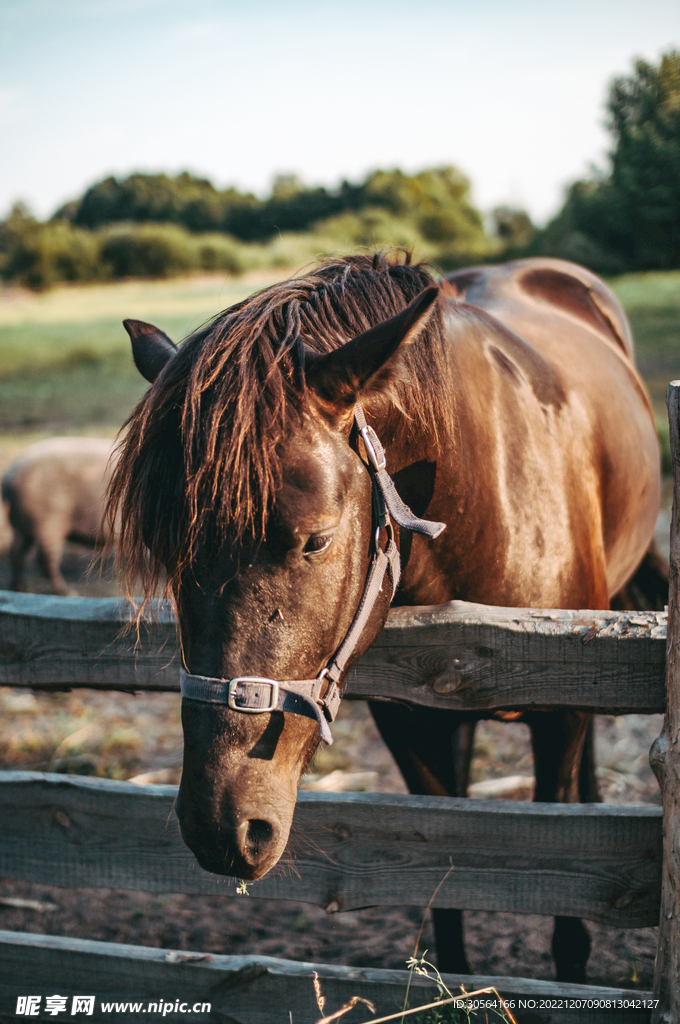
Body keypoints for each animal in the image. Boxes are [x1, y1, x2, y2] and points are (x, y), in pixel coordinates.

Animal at [2, 437, 116, 595]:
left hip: (21, 525)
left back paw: (22, 588)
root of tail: (8, 476)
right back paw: (69, 592)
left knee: (16, 552)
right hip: (48, 521)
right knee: (45, 559)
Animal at [105, 252, 661, 984]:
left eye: (316, 539)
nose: (220, 826)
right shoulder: (410, 720)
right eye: (164, 549)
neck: (484, 494)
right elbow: (440, 871)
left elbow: (570, 867)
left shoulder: (562, 708)